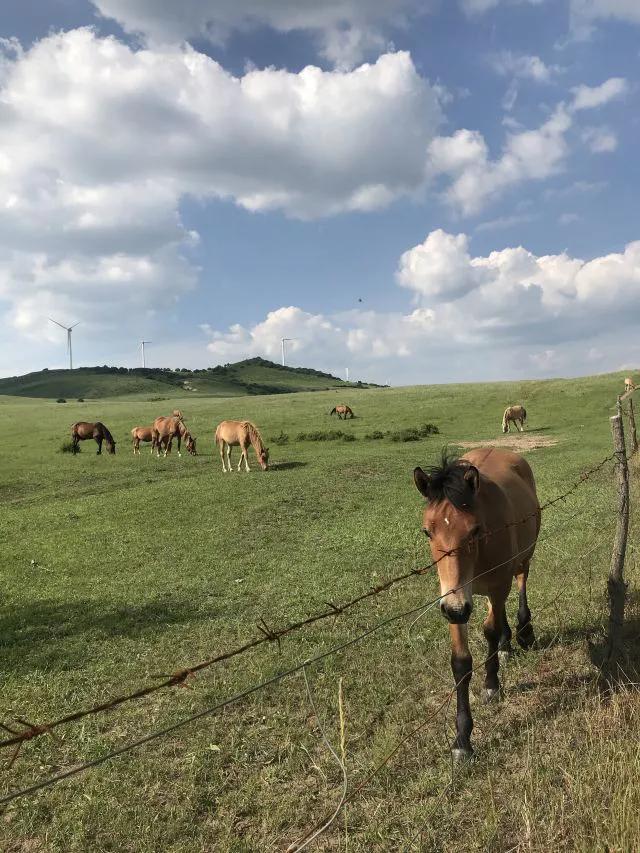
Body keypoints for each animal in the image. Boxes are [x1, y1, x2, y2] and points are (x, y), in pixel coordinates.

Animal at [416, 446, 540, 760]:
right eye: (427, 532)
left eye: (474, 530)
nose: (457, 608)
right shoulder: (455, 600)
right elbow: (461, 663)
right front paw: (462, 739)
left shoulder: (495, 585)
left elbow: (490, 631)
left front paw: (492, 686)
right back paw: (507, 645)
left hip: (522, 559)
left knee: (521, 581)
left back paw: (524, 632)